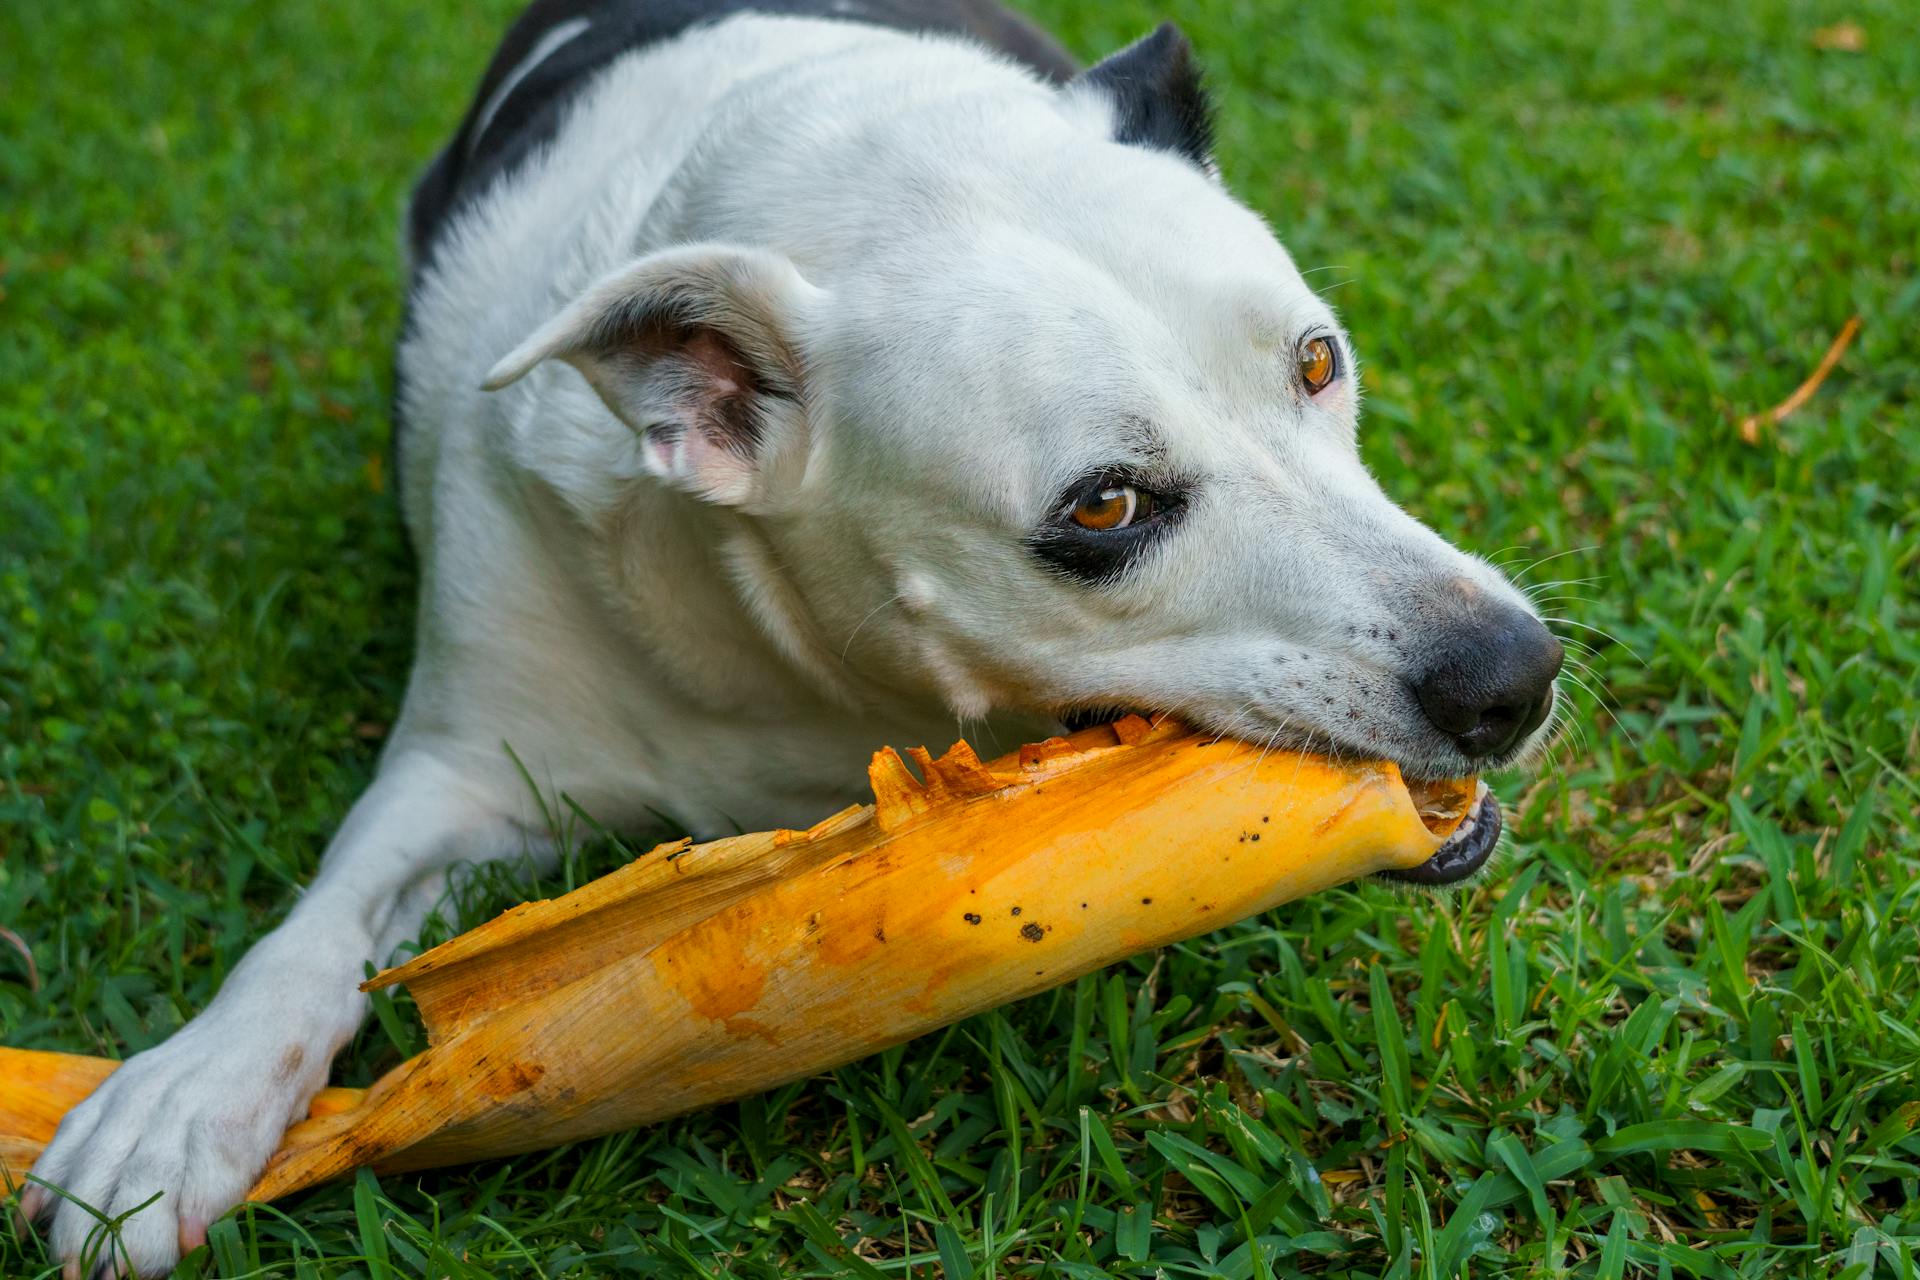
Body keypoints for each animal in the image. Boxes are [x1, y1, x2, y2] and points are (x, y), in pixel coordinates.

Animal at [26, 2, 1559, 1274]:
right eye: (1106, 506)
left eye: (1318, 362)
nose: (1513, 677)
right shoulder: (461, 764)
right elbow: (322, 924)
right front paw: (186, 1093)